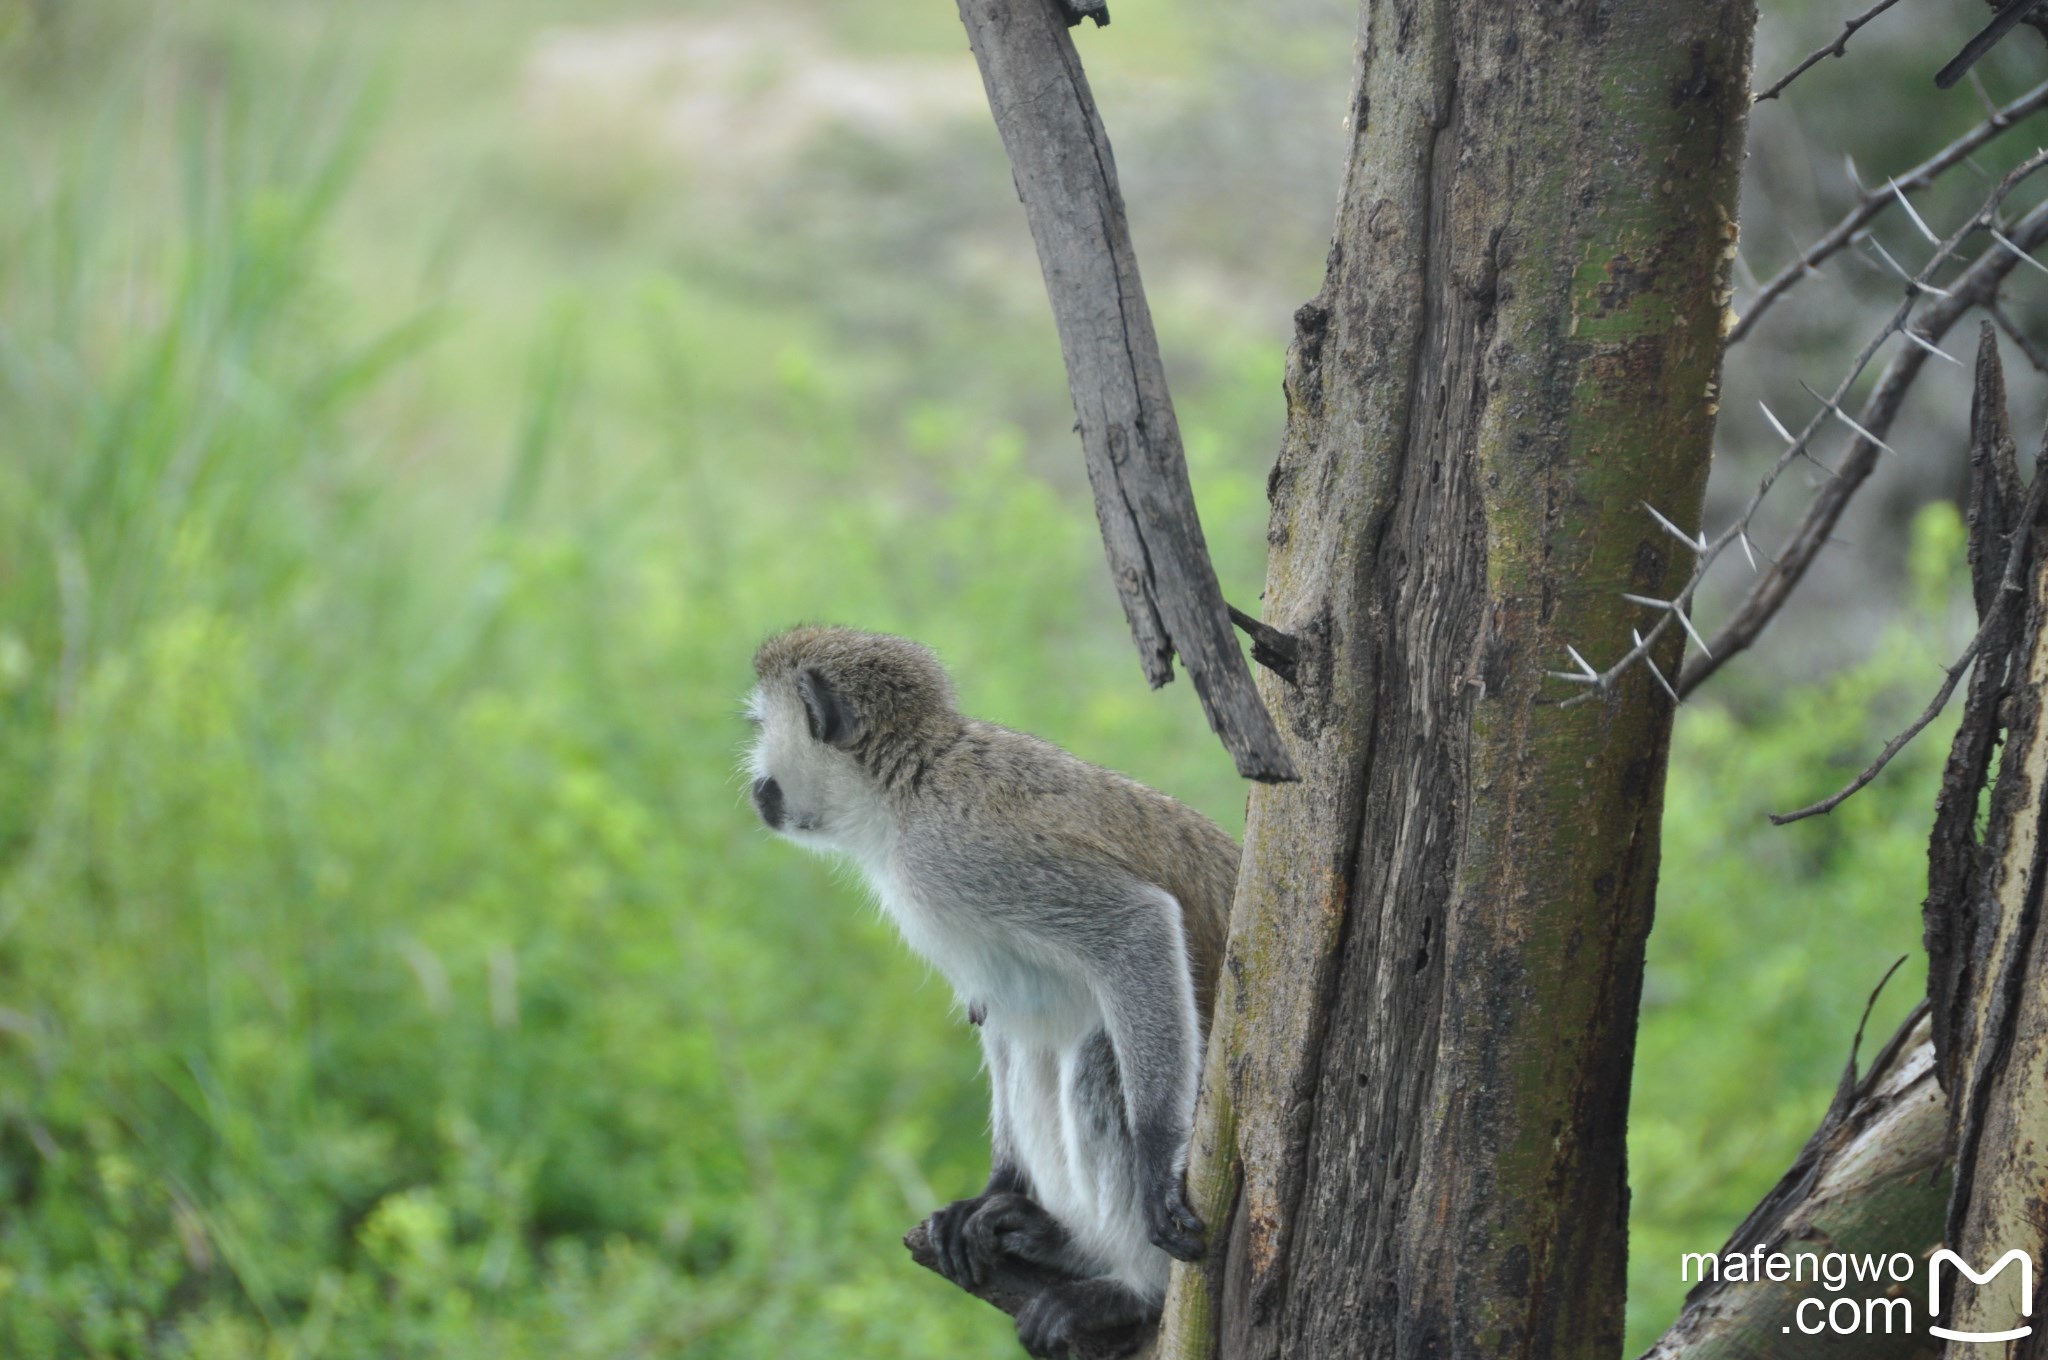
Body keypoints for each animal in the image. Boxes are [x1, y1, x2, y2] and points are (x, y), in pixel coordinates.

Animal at [749, 630, 1236, 1351]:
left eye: (758, 725)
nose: (754, 784)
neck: (903, 794)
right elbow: (1000, 1012)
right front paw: (996, 1187)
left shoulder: (962, 854)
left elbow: (1138, 925)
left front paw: (1157, 1168)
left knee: (1095, 1052)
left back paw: (1131, 1291)